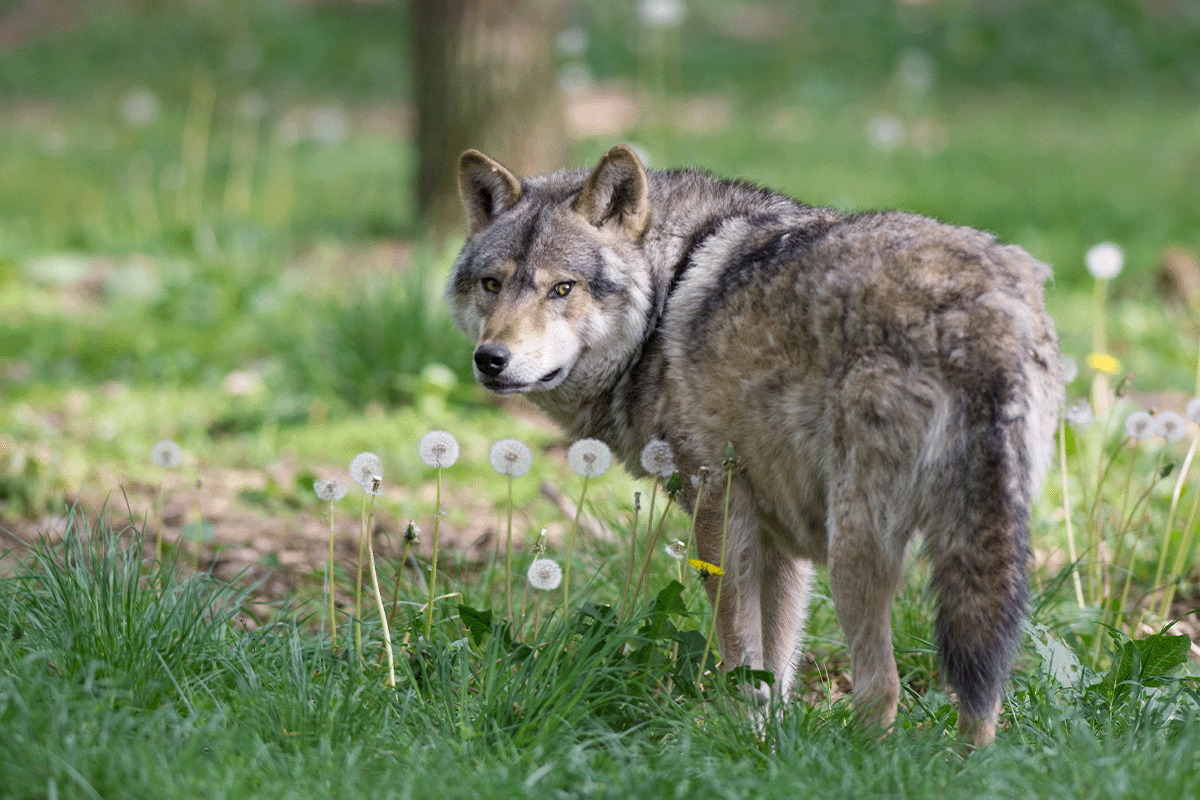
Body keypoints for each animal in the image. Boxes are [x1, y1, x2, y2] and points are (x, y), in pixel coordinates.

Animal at [446, 142, 1065, 743]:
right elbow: (777, 666)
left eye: (562, 288)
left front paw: (743, 739)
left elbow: (742, 660)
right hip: (971, 547)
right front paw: (770, 746)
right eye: (493, 284)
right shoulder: (778, 541)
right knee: (981, 693)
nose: (490, 360)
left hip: (855, 549)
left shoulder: (720, 513)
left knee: (881, 688)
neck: (662, 301)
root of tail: (981, 310)